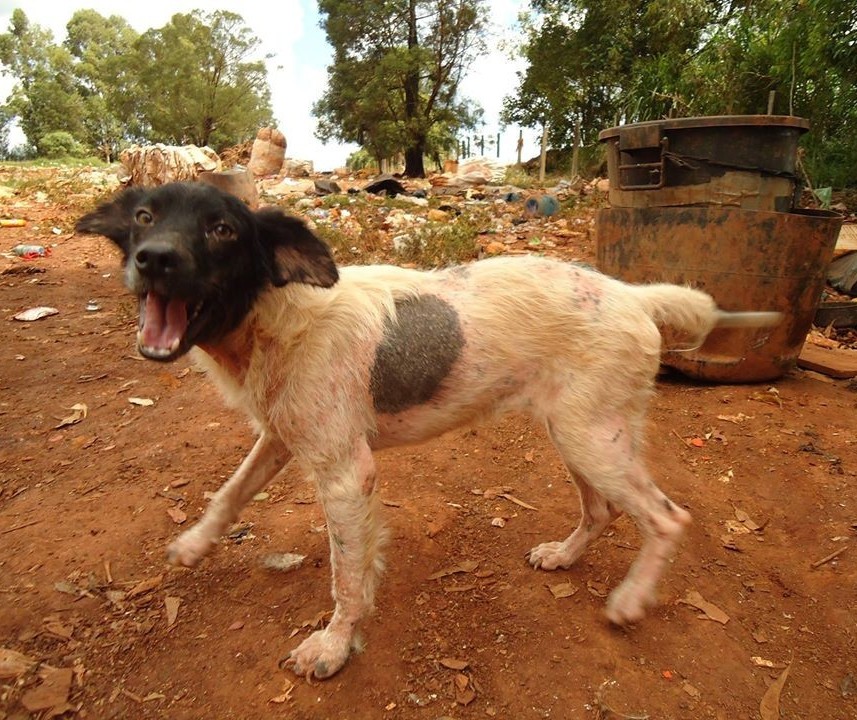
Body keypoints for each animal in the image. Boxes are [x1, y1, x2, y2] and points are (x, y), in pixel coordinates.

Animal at [77, 180, 780, 680]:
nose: (154, 260)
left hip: (591, 437)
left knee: (667, 517)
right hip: (580, 432)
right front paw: (195, 545)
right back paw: (564, 555)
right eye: (144, 217)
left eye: (222, 229)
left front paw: (333, 646)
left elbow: (347, 575)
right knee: (603, 509)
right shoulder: (282, 434)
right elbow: (229, 493)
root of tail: (634, 295)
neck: (277, 311)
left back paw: (631, 598)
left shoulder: (346, 473)